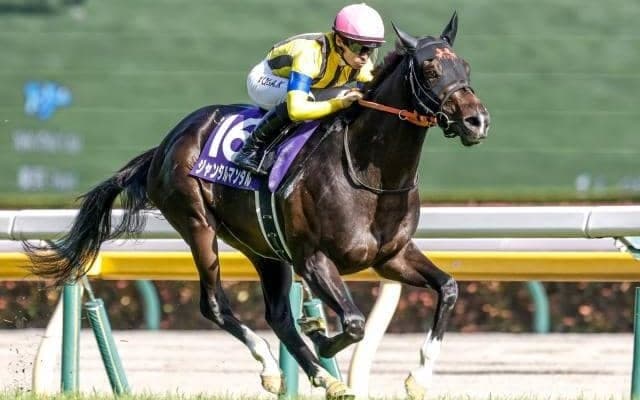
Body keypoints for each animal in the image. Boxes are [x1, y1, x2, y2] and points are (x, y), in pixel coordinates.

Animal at [24, 12, 489, 400]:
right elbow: (354, 323)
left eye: (465, 67)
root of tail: (166, 144)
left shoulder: (390, 257)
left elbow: (448, 288)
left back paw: (326, 379)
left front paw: (418, 378)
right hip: (198, 226)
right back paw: (272, 366)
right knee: (214, 304)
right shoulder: (313, 259)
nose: (476, 120)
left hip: (263, 247)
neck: (370, 174)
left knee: (278, 314)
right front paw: (322, 335)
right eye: (430, 69)